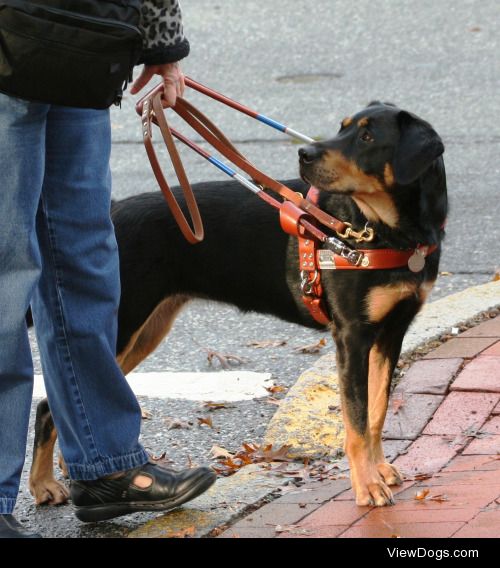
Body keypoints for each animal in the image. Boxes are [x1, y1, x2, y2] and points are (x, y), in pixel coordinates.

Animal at [29, 102, 448, 510]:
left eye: (366, 136)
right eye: (343, 128)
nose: (305, 153)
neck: (387, 232)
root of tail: (114, 211)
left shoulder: (391, 332)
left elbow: (375, 413)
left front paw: (380, 471)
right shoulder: (351, 335)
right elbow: (357, 423)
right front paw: (367, 487)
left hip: (145, 329)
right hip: (120, 322)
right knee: (49, 406)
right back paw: (43, 485)